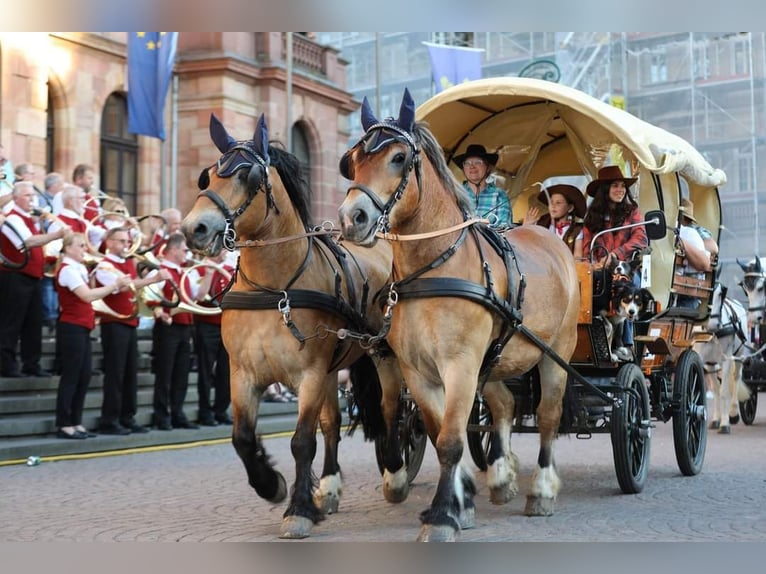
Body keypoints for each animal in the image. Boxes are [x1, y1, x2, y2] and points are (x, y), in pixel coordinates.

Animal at [182, 116, 404, 540]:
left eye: (248, 176)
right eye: (207, 176)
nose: (193, 229)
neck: (273, 290)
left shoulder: (310, 374)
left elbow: (302, 441)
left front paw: (298, 510)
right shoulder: (243, 374)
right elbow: (242, 437)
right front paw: (271, 485)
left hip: (381, 357)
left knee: (390, 410)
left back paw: (395, 471)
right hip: (336, 367)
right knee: (332, 424)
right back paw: (330, 486)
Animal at [340, 91, 580, 544]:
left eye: (399, 157)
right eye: (354, 159)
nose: (351, 218)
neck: (434, 267)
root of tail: (551, 237)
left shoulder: (460, 365)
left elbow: (451, 439)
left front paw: (441, 517)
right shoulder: (418, 371)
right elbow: (438, 435)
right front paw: (461, 501)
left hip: (555, 353)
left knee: (548, 417)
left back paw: (541, 490)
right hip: (499, 359)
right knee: (504, 406)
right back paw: (501, 478)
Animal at [692, 284, 752, 436]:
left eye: (720, 294)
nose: (713, 324)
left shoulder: (727, 360)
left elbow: (724, 391)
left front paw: (725, 424)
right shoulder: (703, 361)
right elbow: (713, 390)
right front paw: (716, 420)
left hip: (739, 357)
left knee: (736, 379)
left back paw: (733, 413)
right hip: (712, 364)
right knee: (716, 387)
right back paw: (716, 419)